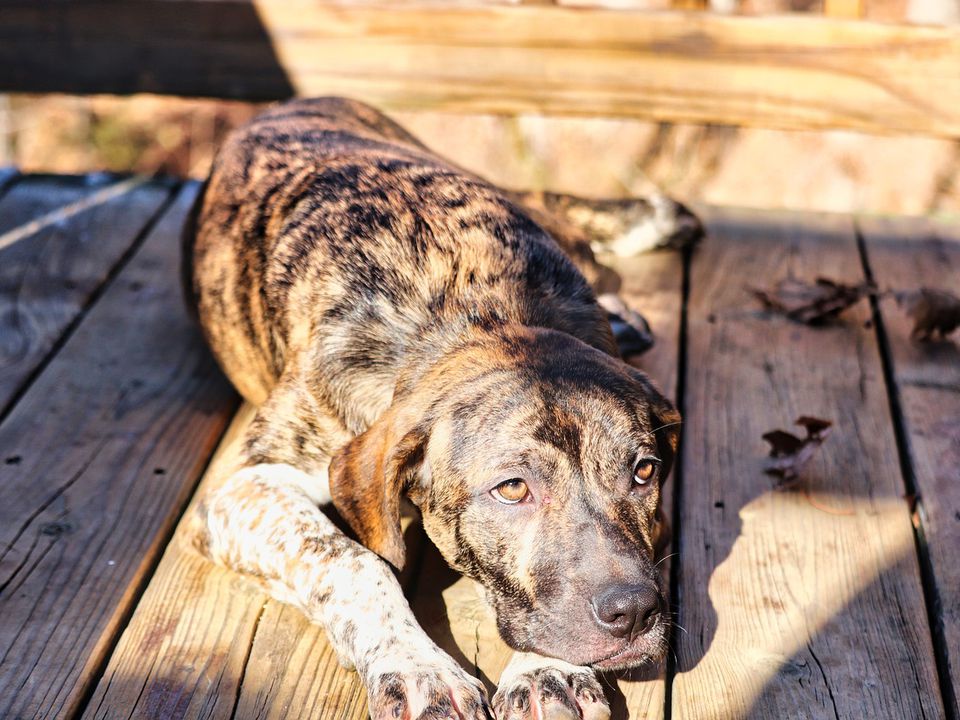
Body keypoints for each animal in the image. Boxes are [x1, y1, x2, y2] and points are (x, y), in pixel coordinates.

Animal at [184, 97, 700, 720]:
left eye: (644, 472)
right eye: (512, 489)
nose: (635, 613)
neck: (474, 306)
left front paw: (545, 670)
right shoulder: (242, 489)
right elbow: (351, 559)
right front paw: (417, 665)